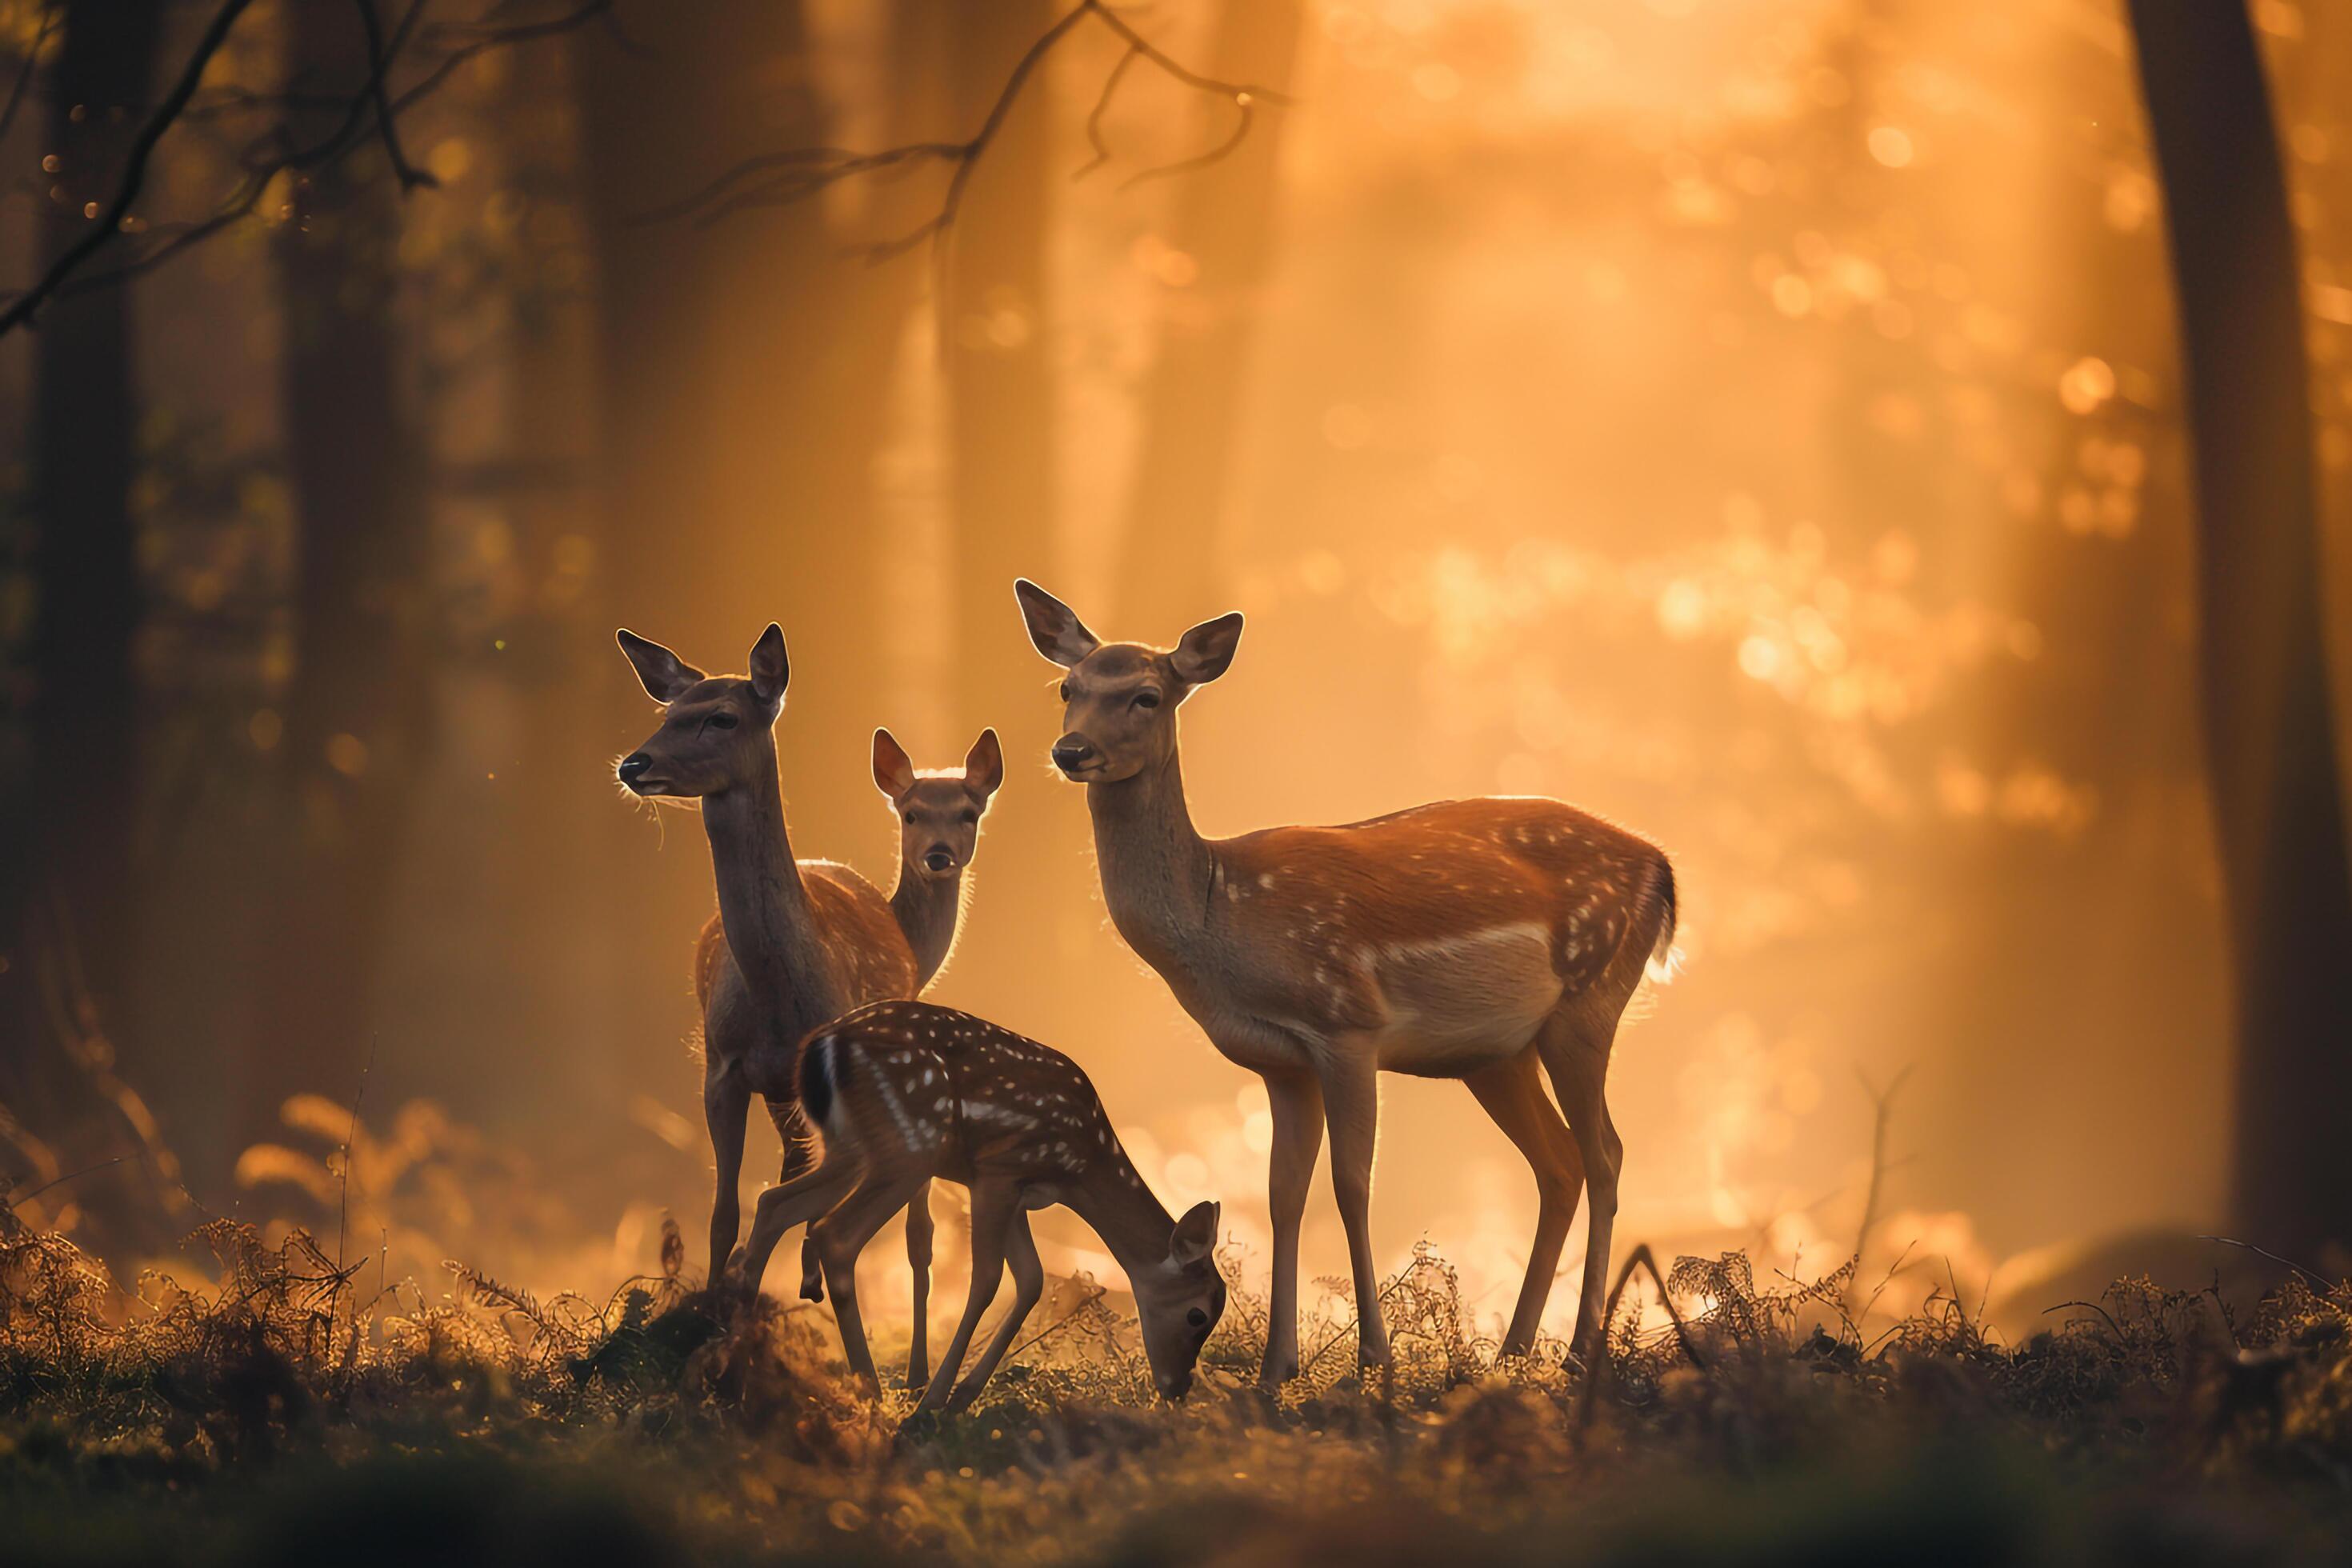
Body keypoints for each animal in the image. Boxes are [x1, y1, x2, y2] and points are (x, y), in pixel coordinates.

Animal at [621, 625, 978, 1382]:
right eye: (667, 712)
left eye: (722, 717)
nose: (635, 763)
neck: (780, 999)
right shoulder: (722, 1070)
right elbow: (725, 1210)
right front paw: (711, 1321)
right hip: (786, 1096)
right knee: (795, 1179)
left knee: (912, 1224)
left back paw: (910, 1363)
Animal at [729, 1006, 1232, 1419]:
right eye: (1197, 1316)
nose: (1178, 1388)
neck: (1079, 1164)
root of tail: (820, 1049)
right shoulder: (998, 1171)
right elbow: (990, 1277)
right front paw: (933, 1403)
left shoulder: (1018, 1192)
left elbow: (1031, 1279)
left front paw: (963, 1397)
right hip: (910, 1148)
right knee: (835, 1235)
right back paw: (870, 1389)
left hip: (848, 1148)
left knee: (775, 1204)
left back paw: (735, 1363)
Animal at [1011, 580, 1674, 1382]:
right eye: (1067, 688)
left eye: (1146, 695)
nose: (1070, 749)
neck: (1223, 915)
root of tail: (1662, 869)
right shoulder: (1278, 1063)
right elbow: (1282, 1195)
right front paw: (1278, 1367)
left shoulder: (1347, 1023)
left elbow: (1351, 1186)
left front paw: (1372, 1359)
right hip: (1497, 1054)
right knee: (1560, 1163)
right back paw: (1512, 1352)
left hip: (1589, 1000)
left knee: (1606, 1155)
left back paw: (1578, 1353)